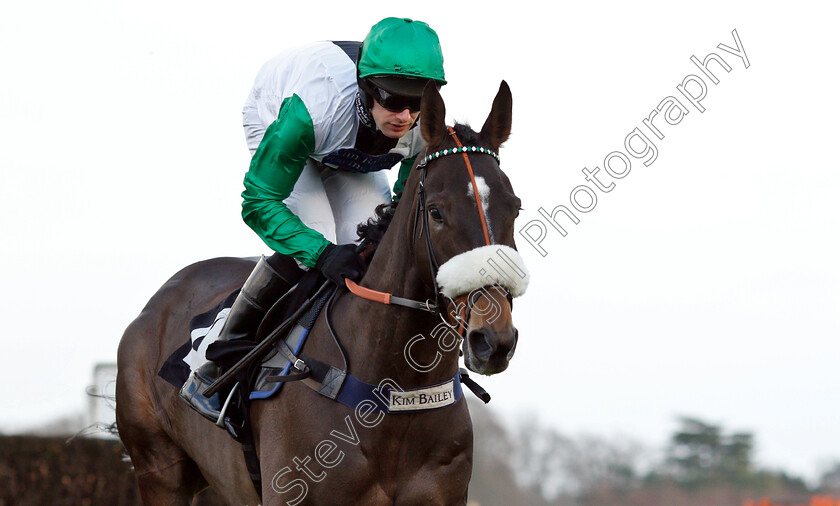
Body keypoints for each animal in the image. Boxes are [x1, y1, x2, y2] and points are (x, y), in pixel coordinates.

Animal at [115, 81, 528, 504]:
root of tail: (159, 300)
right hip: (160, 471)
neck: (395, 391)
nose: (493, 340)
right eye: (436, 212)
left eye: (514, 208)